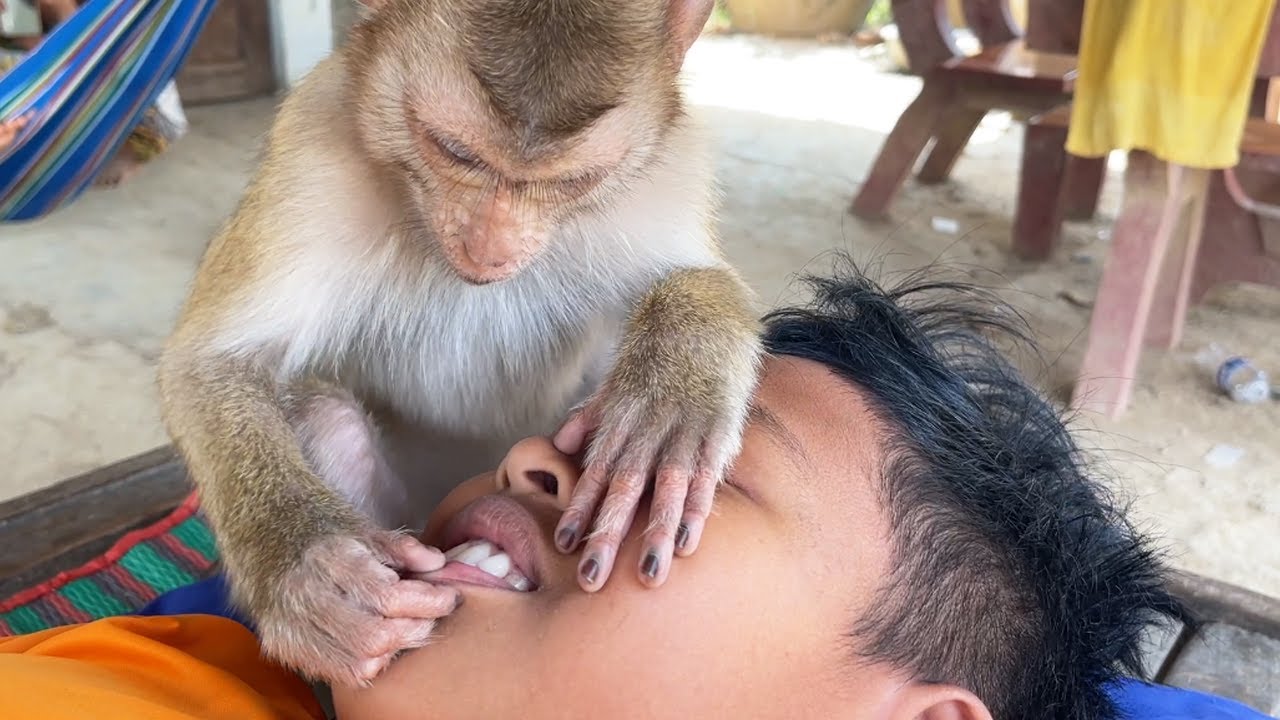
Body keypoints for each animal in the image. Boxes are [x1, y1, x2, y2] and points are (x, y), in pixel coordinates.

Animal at [156, 0, 762, 689]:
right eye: (453, 150)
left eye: (577, 180)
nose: (489, 250)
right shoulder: (312, 150)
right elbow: (207, 365)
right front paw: (307, 568)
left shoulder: (670, 167)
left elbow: (703, 277)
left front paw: (671, 401)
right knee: (326, 415)